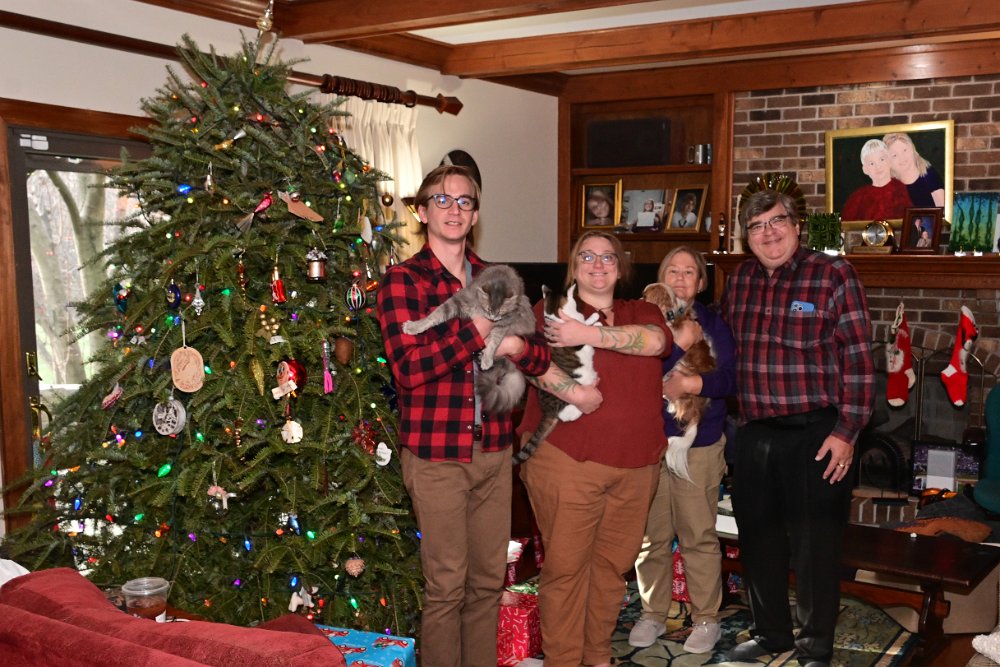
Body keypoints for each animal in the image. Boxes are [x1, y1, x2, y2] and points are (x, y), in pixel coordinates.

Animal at [402, 264, 536, 415]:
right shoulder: (458, 301)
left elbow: (494, 342)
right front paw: (414, 326)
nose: (493, 317)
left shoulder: (504, 323)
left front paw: (487, 358)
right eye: (489, 308)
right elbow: (434, 316)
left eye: (500, 311)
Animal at [513, 283, 601, 465]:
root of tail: (547, 410)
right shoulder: (576, 338)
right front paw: (595, 322)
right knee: (567, 415)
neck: (555, 316)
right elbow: (584, 328)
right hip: (570, 400)